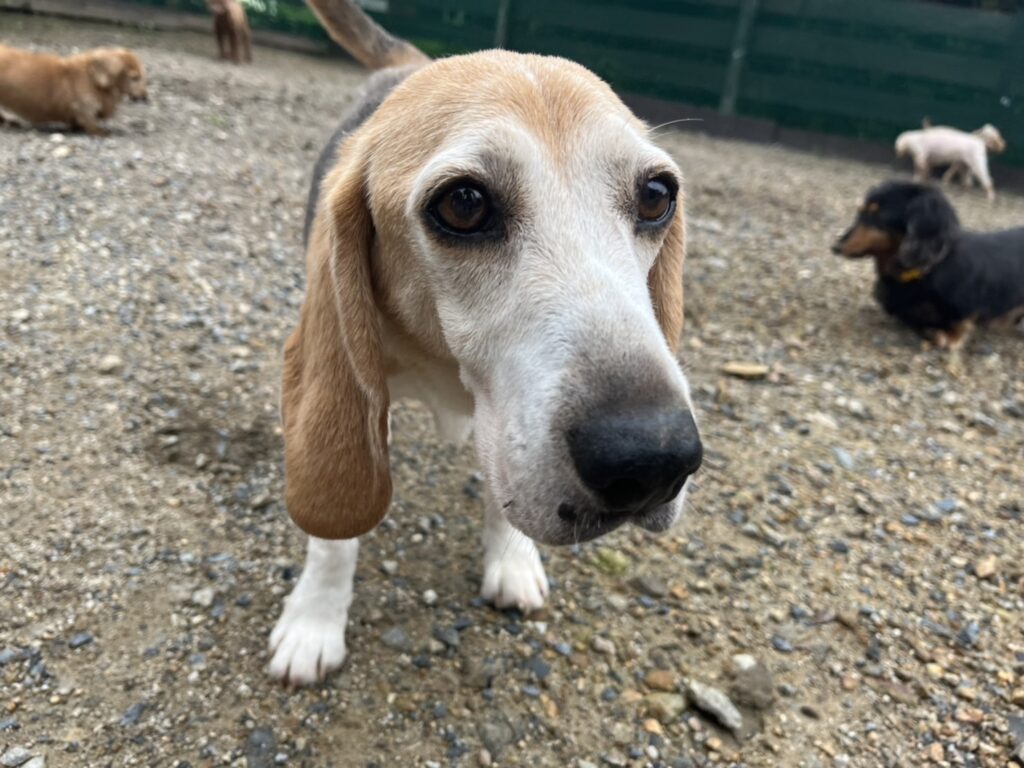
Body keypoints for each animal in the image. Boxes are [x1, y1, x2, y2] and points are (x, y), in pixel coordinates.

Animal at [0, 45, 146, 136]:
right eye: (135, 78)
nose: (145, 97)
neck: (91, 79)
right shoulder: (84, 109)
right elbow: (90, 122)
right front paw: (101, 132)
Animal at [268, 0, 703, 685]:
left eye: (657, 195)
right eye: (465, 204)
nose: (654, 458)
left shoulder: (503, 422)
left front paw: (512, 561)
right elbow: (335, 532)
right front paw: (315, 620)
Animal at [833, 181, 1024, 353]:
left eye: (878, 215)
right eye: (860, 212)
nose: (835, 247)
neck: (923, 271)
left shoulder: (966, 311)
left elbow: (953, 329)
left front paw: (945, 336)